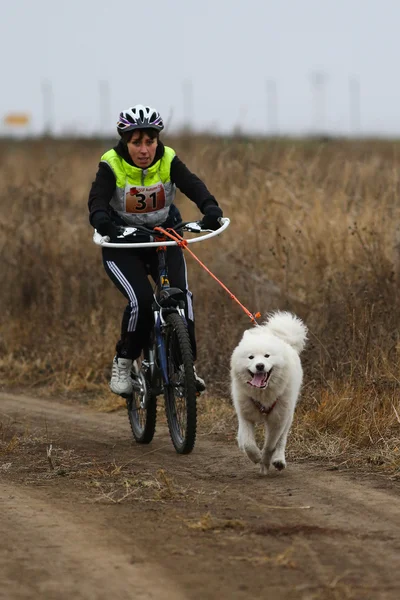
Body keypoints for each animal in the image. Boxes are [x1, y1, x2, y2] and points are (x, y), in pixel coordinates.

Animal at [230, 312, 308, 476]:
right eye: (251, 357)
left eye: (267, 356)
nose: (260, 366)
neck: (263, 395)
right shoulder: (246, 415)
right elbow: (248, 443)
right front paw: (255, 457)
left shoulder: (277, 421)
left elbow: (270, 446)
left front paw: (264, 463)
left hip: (288, 416)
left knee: (281, 441)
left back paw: (278, 460)